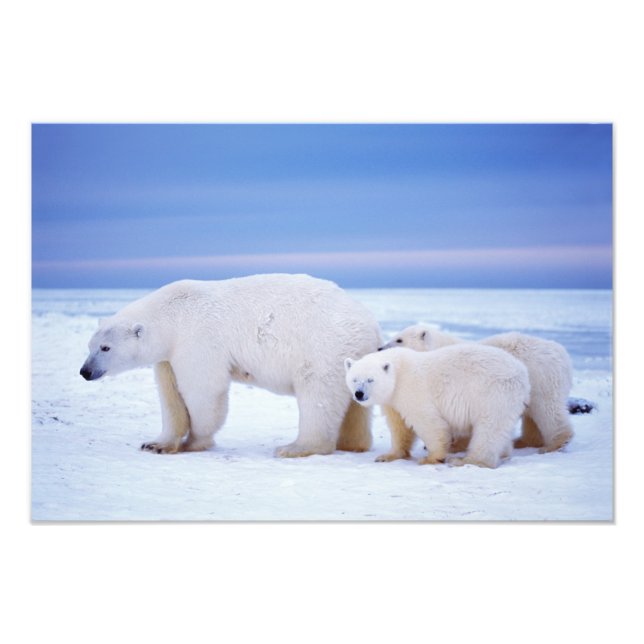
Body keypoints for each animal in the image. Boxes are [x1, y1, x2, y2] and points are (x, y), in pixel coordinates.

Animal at [80, 273, 382, 457]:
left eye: (105, 348)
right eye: (90, 345)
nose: (85, 371)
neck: (172, 315)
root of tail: (370, 322)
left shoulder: (197, 339)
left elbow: (204, 390)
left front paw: (194, 442)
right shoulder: (168, 356)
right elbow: (170, 397)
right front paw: (156, 443)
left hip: (323, 348)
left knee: (317, 395)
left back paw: (295, 447)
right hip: (352, 356)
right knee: (354, 406)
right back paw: (353, 444)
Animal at [344, 345, 530, 468]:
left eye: (370, 379)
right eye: (354, 379)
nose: (359, 394)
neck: (398, 372)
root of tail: (522, 373)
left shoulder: (412, 390)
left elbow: (429, 423)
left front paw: (432, 458)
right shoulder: (393, 400)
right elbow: (400, 427)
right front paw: (388, 456)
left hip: (493, 393)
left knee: (489, 428)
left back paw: (468, 460)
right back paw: (504, 452)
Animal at [379, 323, 574, 453]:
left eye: (399, 339)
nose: (380, 347)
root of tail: (562, 352)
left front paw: (454, 445)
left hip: (542, 379)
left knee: (547, 409)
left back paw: (555, 443)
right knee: (532, 416)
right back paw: (524, 441)